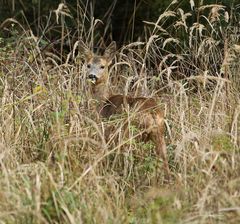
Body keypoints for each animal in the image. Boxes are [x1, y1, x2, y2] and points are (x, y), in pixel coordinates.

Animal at [79, 40, 170, 178]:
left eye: (102, 66)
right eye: (88, 65)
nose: (92, 76)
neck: (103, 102)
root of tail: (153, 112)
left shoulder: (106, 130)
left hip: (131, 133)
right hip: (158, 134)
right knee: (164, 159)